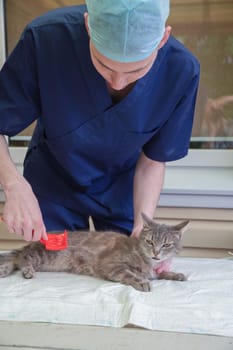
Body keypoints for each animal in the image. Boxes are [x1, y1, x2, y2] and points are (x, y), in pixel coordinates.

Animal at [0, 213, 189, 292]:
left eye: (166, 245)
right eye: (150, 241)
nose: (155, 252)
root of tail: (34, 242)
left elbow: (161, 273)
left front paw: (175, 274)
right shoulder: (112, 265)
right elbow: (130, 273)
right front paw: (142, 281)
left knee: (15, 259)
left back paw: (5, 269)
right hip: (44, 255)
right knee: (22, 258)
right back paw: (27, 270)